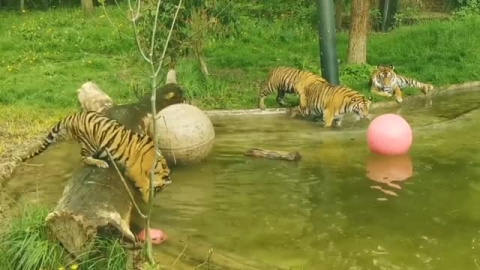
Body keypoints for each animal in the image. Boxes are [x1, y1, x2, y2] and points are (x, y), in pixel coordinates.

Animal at [23, 110, 172, 201]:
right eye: (159, 189)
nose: (156, 195)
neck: (157, 164)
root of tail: (73, 115)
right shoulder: (136, 171)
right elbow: (144, 184)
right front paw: (147, 201)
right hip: (91, 142)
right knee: (83, 158)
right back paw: (101, 163)